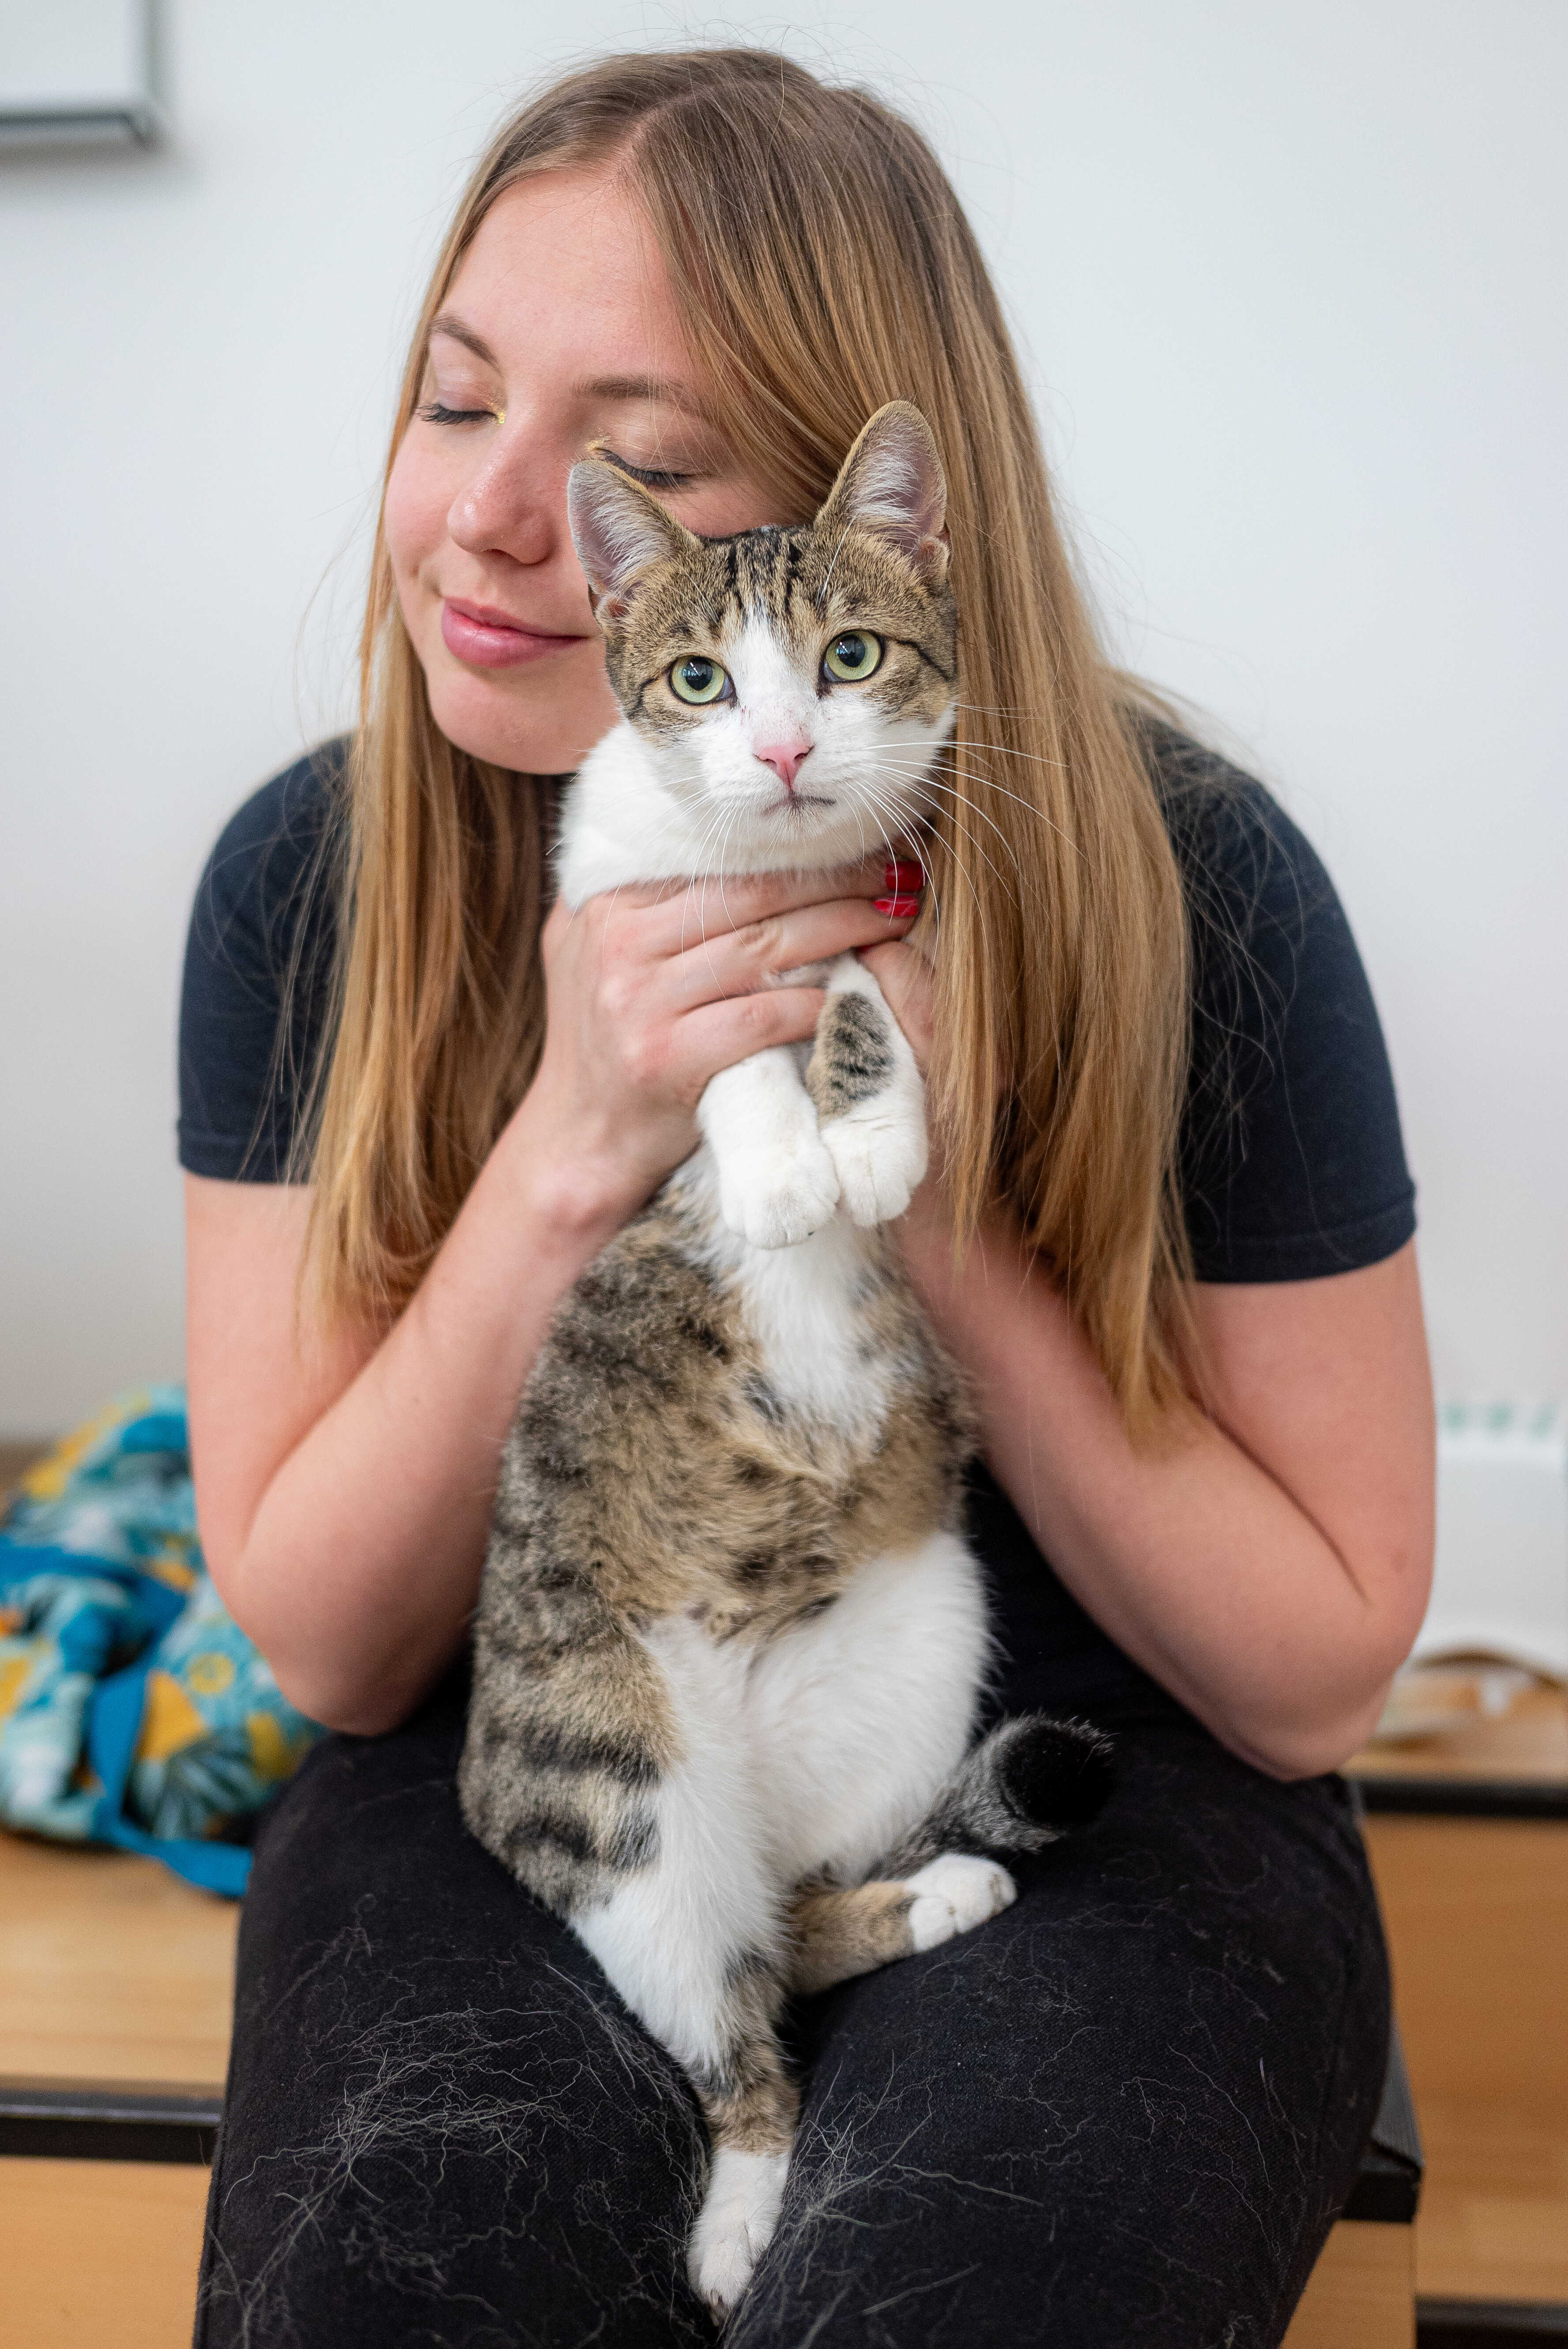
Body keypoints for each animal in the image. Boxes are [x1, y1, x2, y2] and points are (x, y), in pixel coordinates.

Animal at [459, 403, 1113, 2321]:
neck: (777, 876)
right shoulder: (620, 898)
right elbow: (728, 1045)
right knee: (733, 2036)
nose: (782, 742)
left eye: (850, 656)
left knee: (797, 1933)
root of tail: (735, 1781)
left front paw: (875, 1139)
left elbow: (861, 1000)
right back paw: (741, 2221)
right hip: (613, 1797)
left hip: (922, 1656)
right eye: (697, 677)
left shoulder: (897, 905)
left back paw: (931, 1893)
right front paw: (777, 1163)